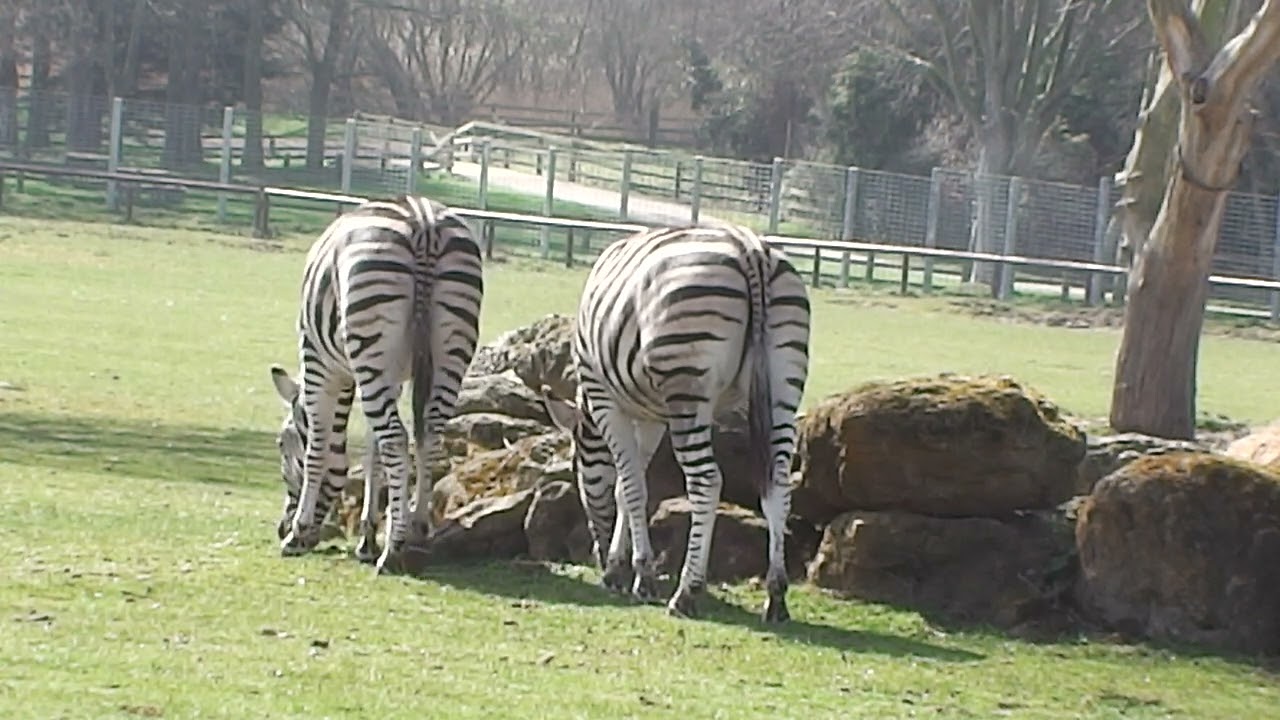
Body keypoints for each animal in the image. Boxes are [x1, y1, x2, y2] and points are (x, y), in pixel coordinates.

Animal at [267, 194, 484, 574]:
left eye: (282, 443)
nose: (281, 527)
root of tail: (424, 222)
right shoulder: (390, 378)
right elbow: (372, 448)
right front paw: (367, 538)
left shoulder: (319, 363)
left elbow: (319, 448)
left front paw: (299, 533)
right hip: (448, 349)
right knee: (429, 436)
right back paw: (417, 531)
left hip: (370, 338)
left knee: (397, 437)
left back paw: (394, 548)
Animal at [539, 222, 811, 622]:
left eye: (577, 471)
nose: (596, 557)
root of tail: (750, 250)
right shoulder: (651, 417)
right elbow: (628, 487)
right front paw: (623, 567)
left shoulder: (606, 401)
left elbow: (632, 488)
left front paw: (637, 575)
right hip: (783, 386)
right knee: (778, 484)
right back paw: (775, 597)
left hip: (687, 382)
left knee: (707, 481)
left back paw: (686, 593)